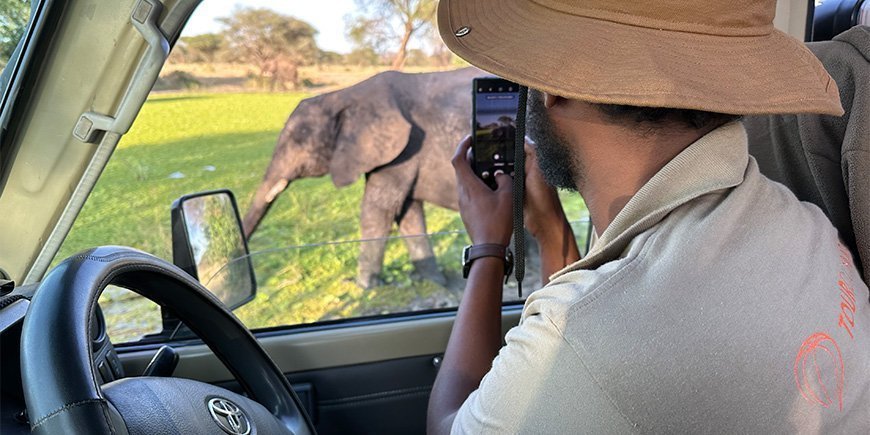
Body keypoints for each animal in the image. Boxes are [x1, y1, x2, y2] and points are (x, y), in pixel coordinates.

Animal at [243, 67, 485, 288]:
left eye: (298, 141)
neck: (342, 96)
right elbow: (407, 213)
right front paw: (433, 282)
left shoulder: (404, 149)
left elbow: (376, 211)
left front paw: (361, 286)